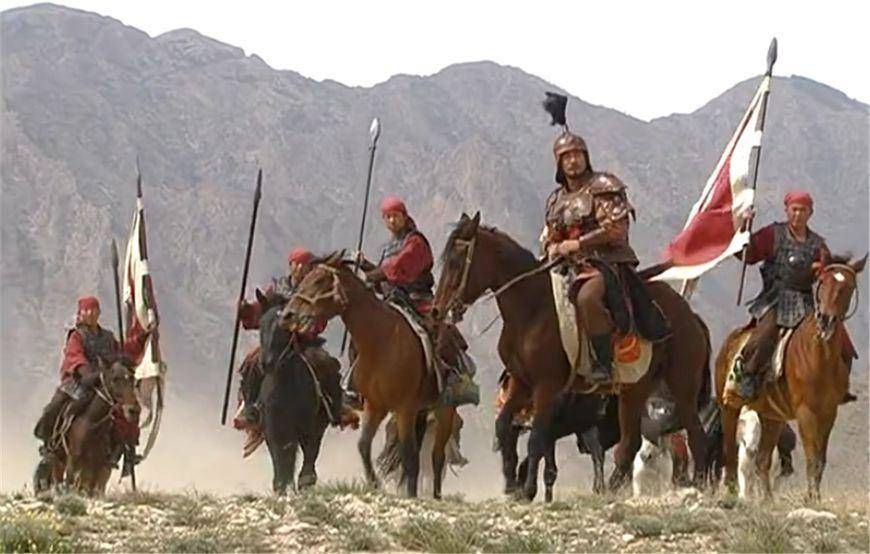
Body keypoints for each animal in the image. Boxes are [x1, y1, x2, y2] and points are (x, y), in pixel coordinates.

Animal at [34, 360, 140, 496]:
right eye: (114, 379)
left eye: (132, 379)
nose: (134, 410)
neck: (91, 424)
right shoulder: (73, 463)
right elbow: (69, 485)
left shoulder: (99, 466)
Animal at [254, 290, 339, 494]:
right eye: (261, 325)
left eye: (285, 329)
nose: (267, 363)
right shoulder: (273, 431)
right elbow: (280, 464)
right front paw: (281, 489)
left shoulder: (307, 429)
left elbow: (307, 458)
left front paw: (304, 483)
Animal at [283, 253, 458, 498]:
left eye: (319, 281)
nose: (287, 315)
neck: (381, 340)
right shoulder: (375, 406)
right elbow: (364, 446)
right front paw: (374, 484)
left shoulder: (404, 408)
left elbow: (410, 456)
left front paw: (411, 495)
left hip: (445, 410)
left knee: (437, 456)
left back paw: (435, 496)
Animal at [432, 213, 711, 500]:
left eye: (456, 261)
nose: (437, 309)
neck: (533, 309)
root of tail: (691, 317)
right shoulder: (522, 383)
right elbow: (503, 425)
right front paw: (511, 484)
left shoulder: (546, 387)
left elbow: (537, 439)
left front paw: (529, 490)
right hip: (634, 390)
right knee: (630, 443)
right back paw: (609, 490)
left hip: (682, 387)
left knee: (695, 436)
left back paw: (697, 485)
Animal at [715, 253, 866, 500]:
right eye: (822, 282)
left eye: (849, 287)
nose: (826, 320)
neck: (820, 356)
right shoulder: (806, 412)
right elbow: (812, 457)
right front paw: (812, 498)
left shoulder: (829, 412)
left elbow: (820, 460)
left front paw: (814, 497)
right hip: (728, 407)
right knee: (730, 453)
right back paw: (729, 492)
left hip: (772, 416)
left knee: (762, 460)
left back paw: (767, 500)